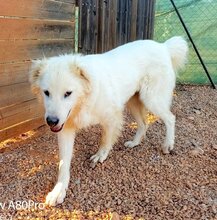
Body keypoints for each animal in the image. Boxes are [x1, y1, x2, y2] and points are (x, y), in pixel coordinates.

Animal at [29, 36, 188, 206]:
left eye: (68, 93)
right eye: (46, 92)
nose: (51, 121)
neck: (86, 97)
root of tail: (163, 46)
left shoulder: (112, 117)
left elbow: (105, 140)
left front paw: (100, 156)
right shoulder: (66, 128)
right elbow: (63, 163)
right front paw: (58, 190)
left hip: (152, 100)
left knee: (170, 118)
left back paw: (168, 145)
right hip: (134, 102)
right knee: (144, 124)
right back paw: (135, 143)